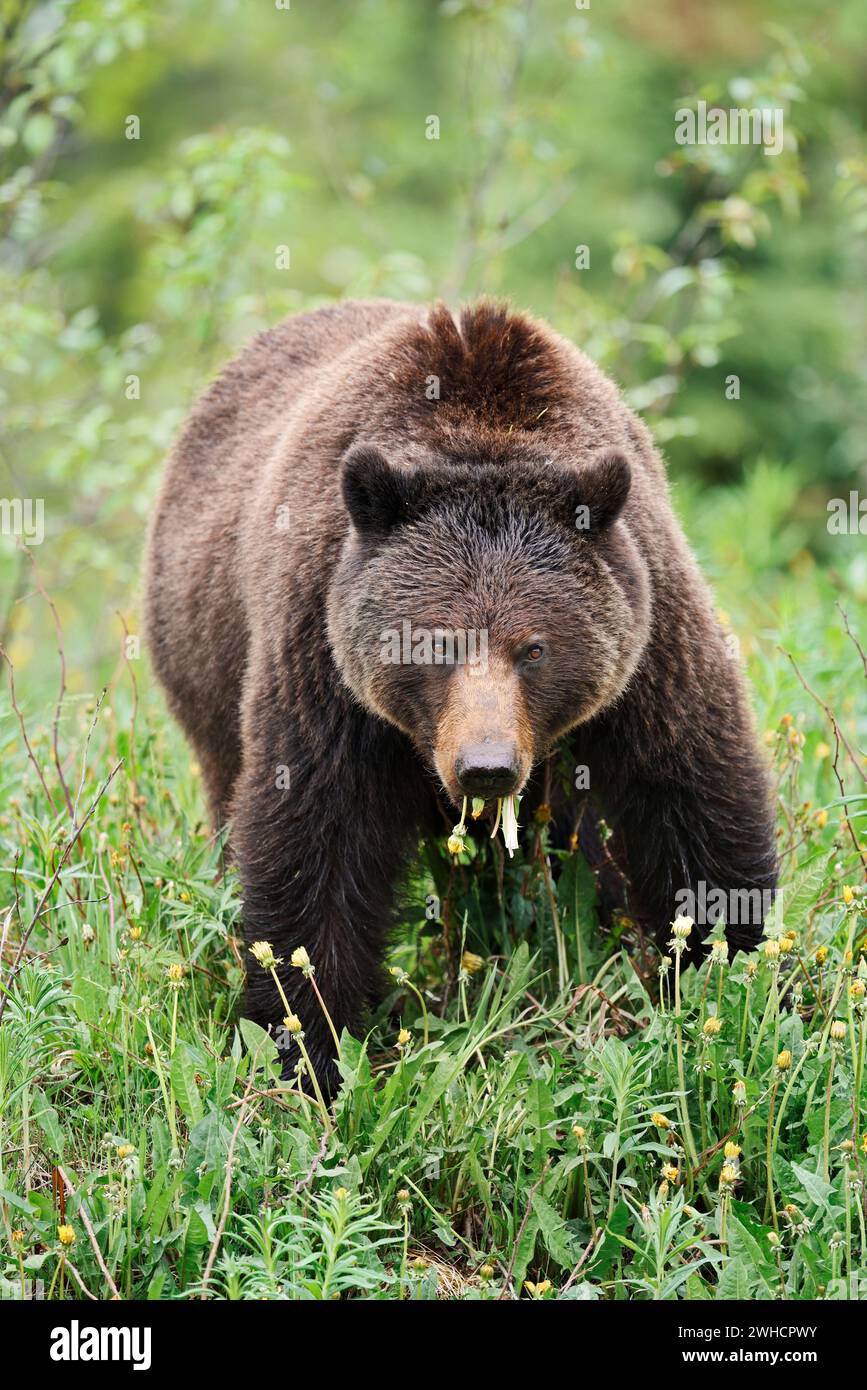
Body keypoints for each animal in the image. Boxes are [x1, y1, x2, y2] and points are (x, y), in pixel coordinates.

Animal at [143, 301, 778, 1095]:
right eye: (435, 645)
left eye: (533, 648)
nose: (486, 766)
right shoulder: (320, 652)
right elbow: (315, 838)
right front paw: (304, 1045)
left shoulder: (650, 635)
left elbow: (691, 790)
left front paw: (721, 980)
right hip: (203, 667)